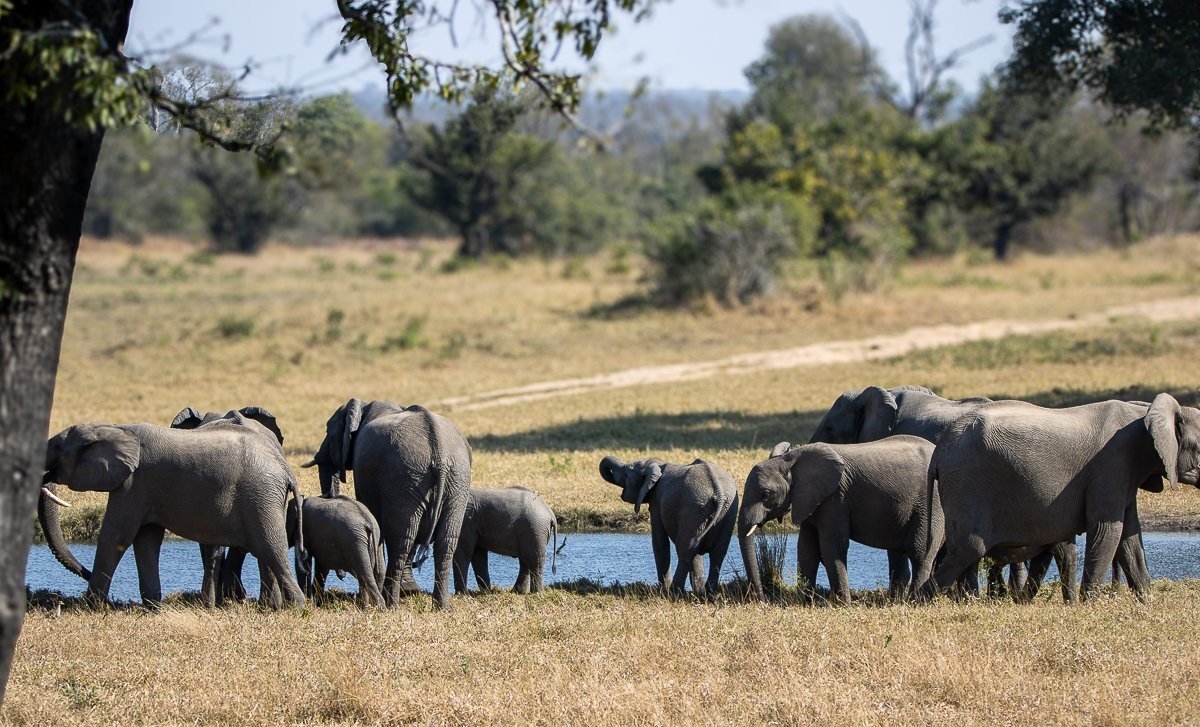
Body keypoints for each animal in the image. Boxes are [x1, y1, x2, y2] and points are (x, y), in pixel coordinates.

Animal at [40, 418, 305, 608]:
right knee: (268, 553)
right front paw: (153, 607)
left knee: (272, 548)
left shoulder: (134, 484)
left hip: (260, 496)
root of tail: (284, 468)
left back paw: (297, 608)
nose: (84, 573)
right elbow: (146, 539)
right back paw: (273, 607)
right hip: (268, 499)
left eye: (58, 448)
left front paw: (90, 607)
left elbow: (115, 536)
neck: (112, 428)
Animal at [304, 399, 472, 610]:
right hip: (455, 482)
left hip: (404, 478)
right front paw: (409, 591)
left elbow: (377, 523)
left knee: (401, 541)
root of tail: (440, 454)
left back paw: (392, 603)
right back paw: (441, 607)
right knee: (444, 541)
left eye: (328, 430)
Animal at [599, 455, 738, 597]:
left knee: (686, 549)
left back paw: (674, 593)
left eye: (626, 474)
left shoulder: (656, 499)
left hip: (695, 508)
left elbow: (659, 541)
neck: (656, 463)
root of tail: (719, 495)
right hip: (726, 511)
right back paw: (708, 594)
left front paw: (663, 590)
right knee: (716, 552)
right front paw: (698, 593)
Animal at [739, 437, 941, 603]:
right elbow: (806, 548)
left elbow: (831, 546)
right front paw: (805, 602)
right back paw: (896, 601)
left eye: (766, 494)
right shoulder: (811, 499)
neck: (789, 460)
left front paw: (843, 604)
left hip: (930, 502)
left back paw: (914, 602)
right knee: (898, 552)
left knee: (920, 552)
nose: (762, 600)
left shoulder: (835, 497)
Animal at [916, 393, 1200, 602]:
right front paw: (1089, 606)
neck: (1144, 412)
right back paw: (921, 604)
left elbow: (1129, 537)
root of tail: (939, 451)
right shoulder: (1111, 464)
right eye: (1199, 447)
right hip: (967, 482)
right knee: (968, 548)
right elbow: (1107, 530)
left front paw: (1145, 605)